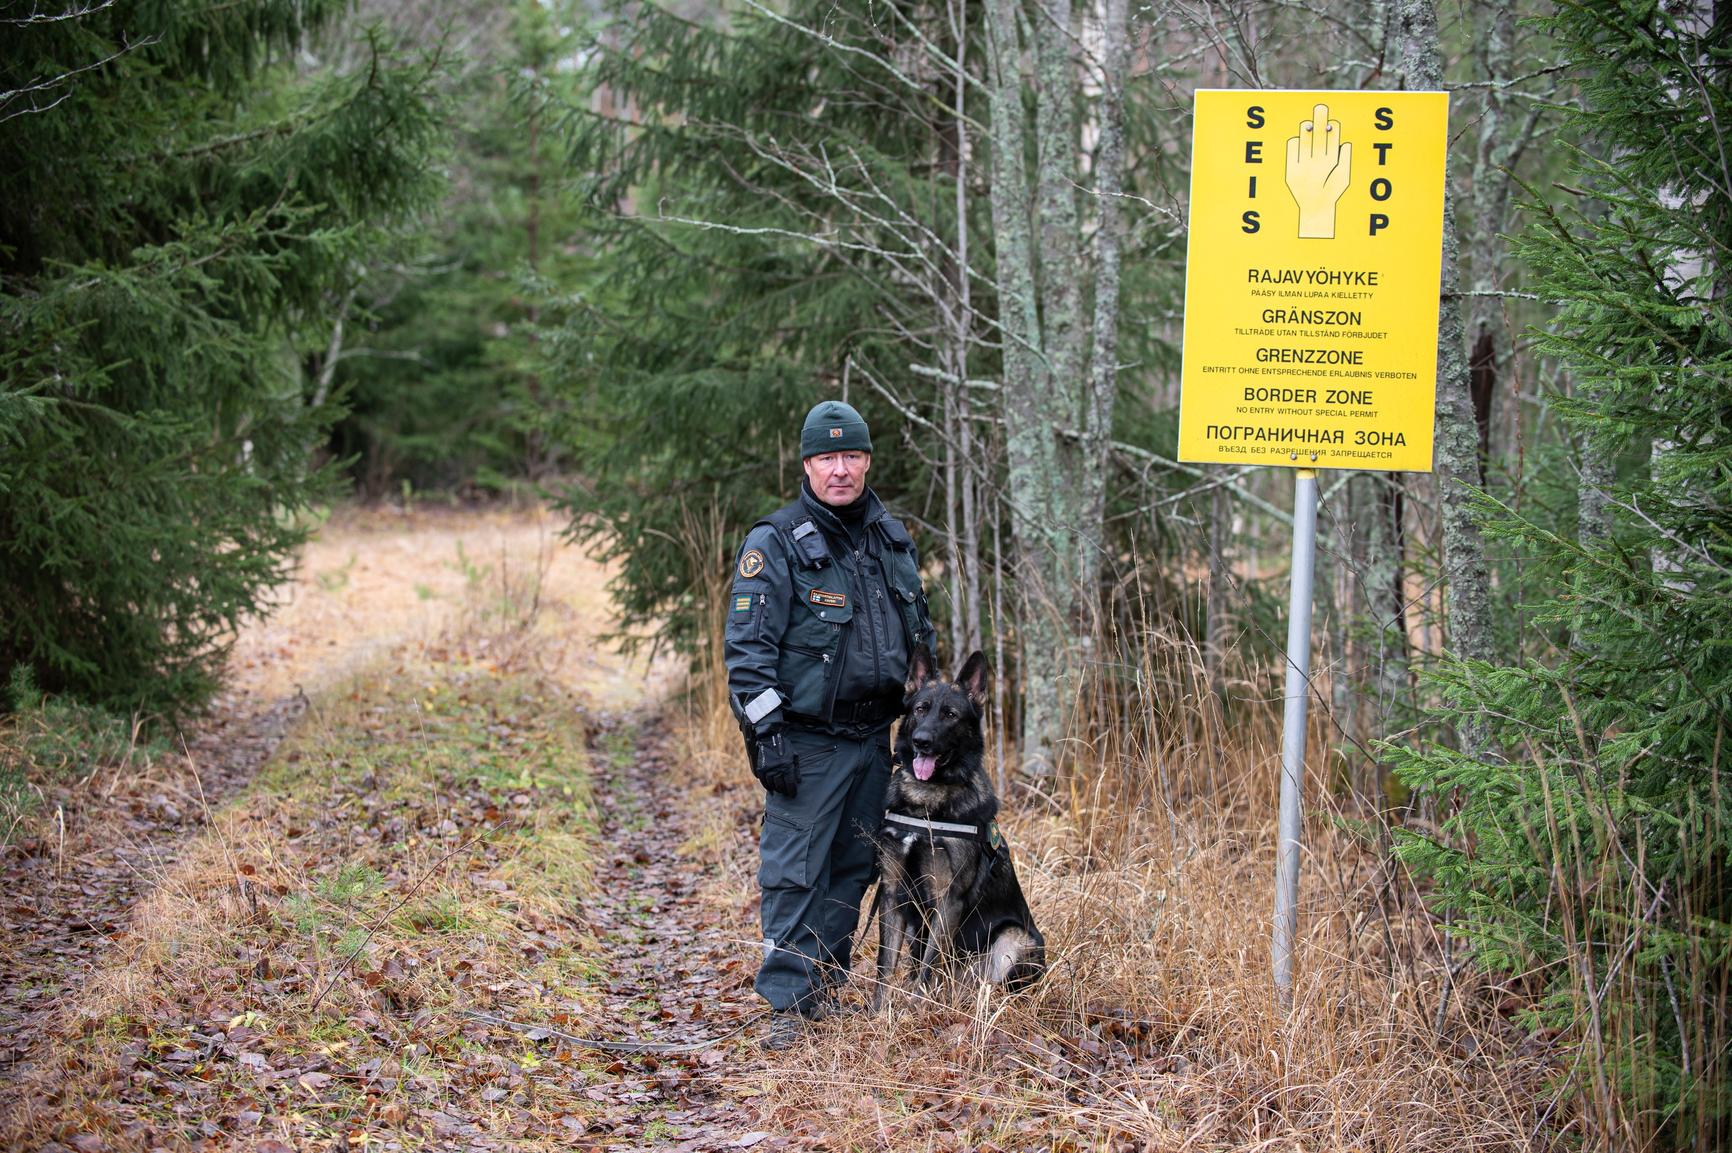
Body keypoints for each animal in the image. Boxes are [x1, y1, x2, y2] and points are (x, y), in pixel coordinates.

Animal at [879, 640, 1039, 1004]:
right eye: (920, 709)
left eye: (950, 715)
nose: (922, 741)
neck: (925, 804)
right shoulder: (892, 893)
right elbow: (884, 969)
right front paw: (877, 1012)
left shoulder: (947, 898)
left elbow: (928, 965)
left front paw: (916, 1007)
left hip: (1015, 938)